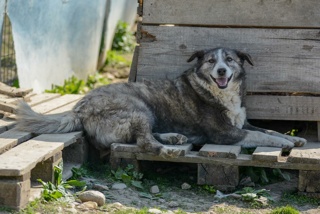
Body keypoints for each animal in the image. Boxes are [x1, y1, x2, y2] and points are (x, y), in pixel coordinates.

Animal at [15, 47, 308, 157]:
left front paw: (294, 139)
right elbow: (264, 136)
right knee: (144, 141)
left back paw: (174, 138)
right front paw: (284, 144)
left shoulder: (242, 124)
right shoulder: (225, 134)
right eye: (210, 61)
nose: (222, 71)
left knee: (144, 136)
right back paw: (167, 148)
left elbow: (267, 129)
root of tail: (80, 106)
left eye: (230, 60)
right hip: (138, 108)